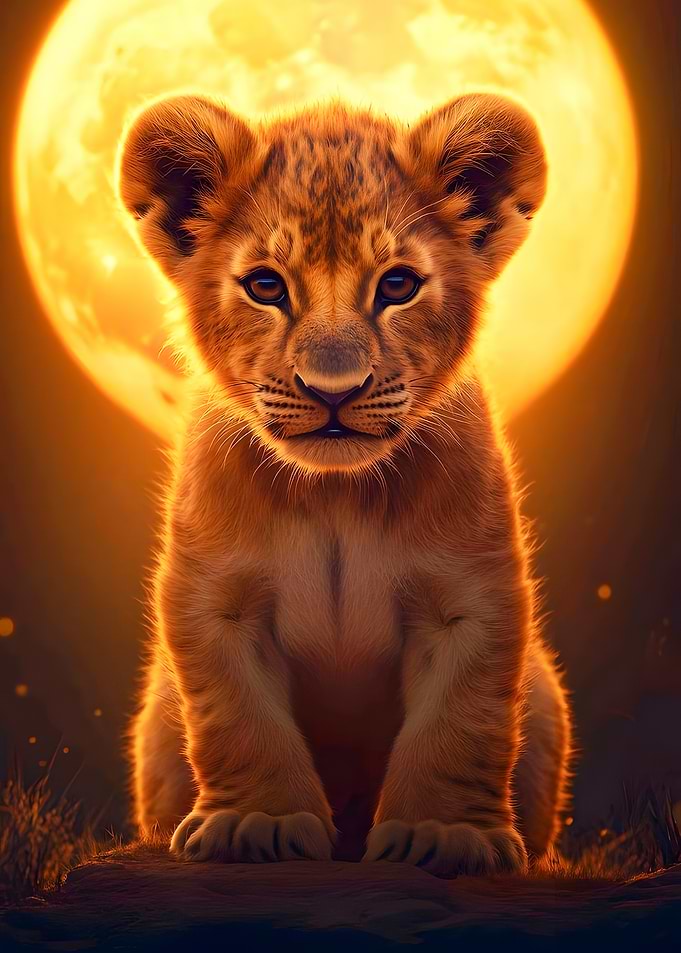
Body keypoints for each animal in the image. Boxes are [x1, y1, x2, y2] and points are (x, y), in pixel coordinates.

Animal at [117, 91, 572, 875]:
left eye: (397, 284)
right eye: (266, 285)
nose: (334, 389)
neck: (335, 495)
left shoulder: (469, 599)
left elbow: (462, 722)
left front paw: (442, 835)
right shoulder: (216, 601)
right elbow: (238, 719)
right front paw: (258, 822)